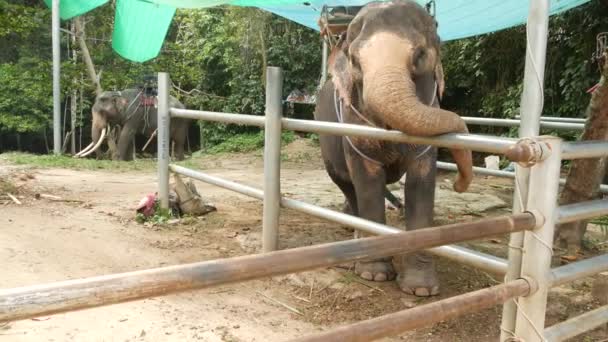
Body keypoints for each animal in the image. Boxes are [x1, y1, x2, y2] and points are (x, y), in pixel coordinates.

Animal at [314, 0, 476, 296]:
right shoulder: (354, 121)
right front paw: (374, 274)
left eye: (421, 55)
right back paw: (355, 234)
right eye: (355, 62)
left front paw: (421, 289)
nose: (459, 184)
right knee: (346, 182)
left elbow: (420, 183)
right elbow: (367, 181)